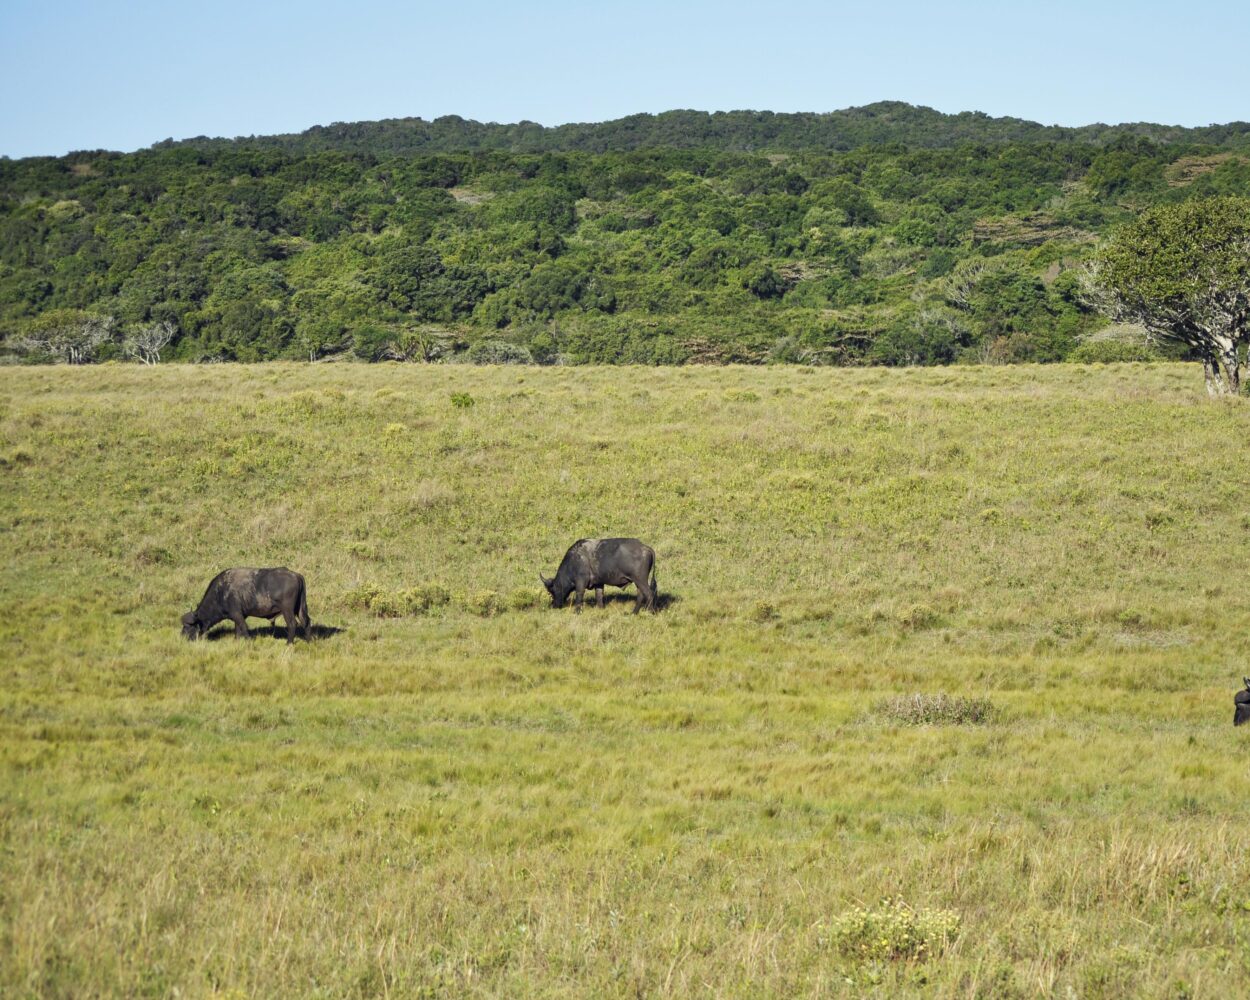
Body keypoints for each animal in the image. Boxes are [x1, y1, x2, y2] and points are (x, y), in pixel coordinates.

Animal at [180, 567, 308, 645]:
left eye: (188, 627)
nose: (182, 637)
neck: (221, 591)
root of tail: (296, 575)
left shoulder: (237, 614)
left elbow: (244, 628)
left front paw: (248, 641)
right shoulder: (239, 616)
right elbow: (237, 630)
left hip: (287, 611)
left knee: (292, 624)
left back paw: (289, 643)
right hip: (300, 608)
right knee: (306, 621)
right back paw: (309, 640)